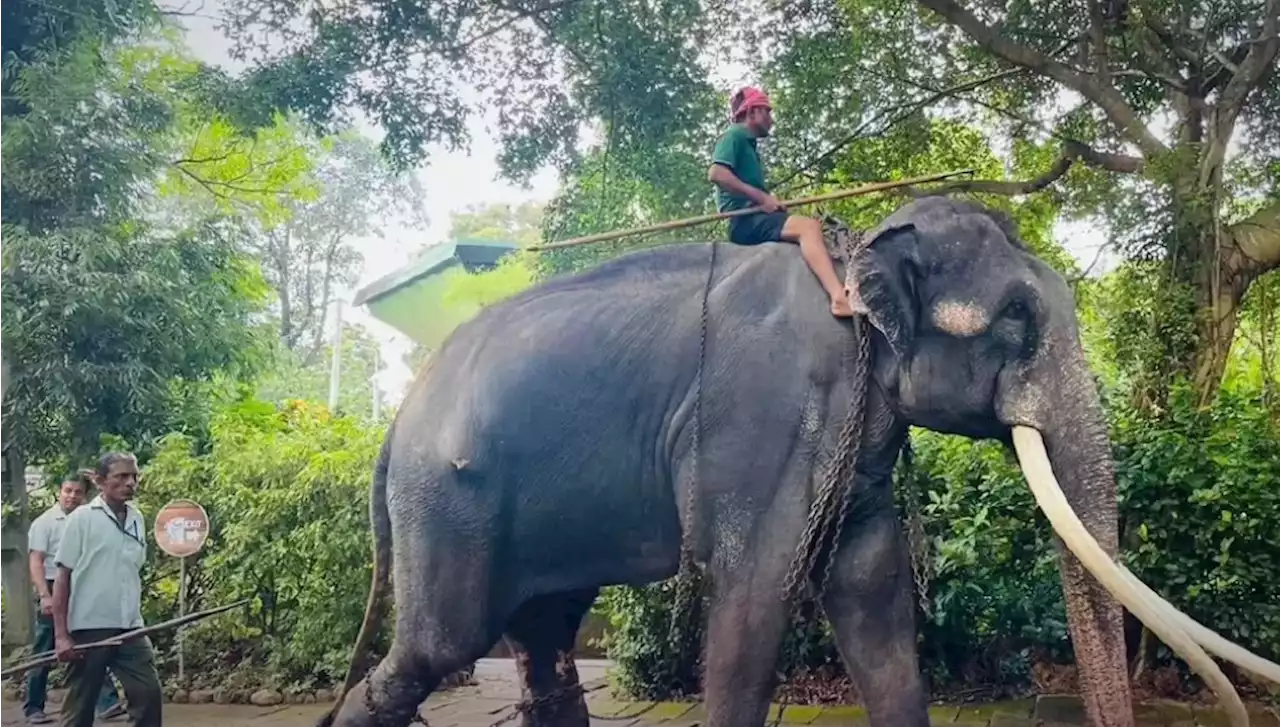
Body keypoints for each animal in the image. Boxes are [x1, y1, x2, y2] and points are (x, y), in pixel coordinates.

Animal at [322, 194, 1280, 726]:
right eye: (1014, 316)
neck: (860, 254)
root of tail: (399, 415)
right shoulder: (762, 419)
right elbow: (755, 597)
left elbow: (874, 596)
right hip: (448, 498)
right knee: (437, 647)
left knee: (547, 649)